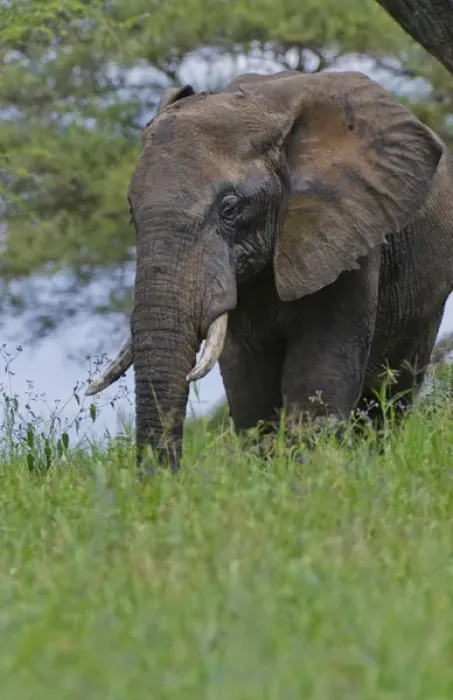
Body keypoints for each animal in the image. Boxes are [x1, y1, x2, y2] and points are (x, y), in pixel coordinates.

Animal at [84, 69, 453, 471]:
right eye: (131, 210)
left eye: (230, 208)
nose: (160, 481)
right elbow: (250, 390)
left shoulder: (348, 233)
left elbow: (317, 382)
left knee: (390, 396)